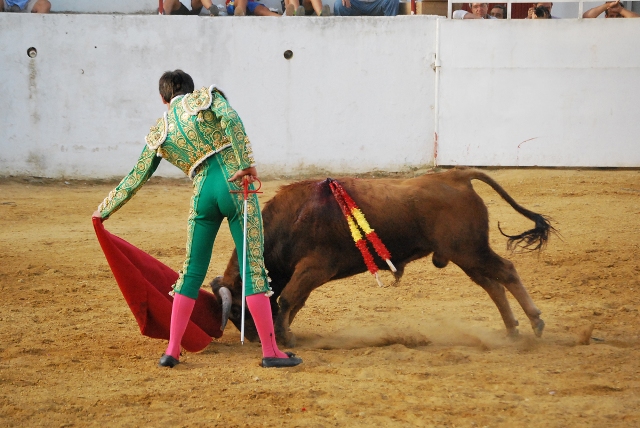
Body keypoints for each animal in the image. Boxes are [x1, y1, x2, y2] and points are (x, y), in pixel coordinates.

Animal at [211, 167, 556, 348]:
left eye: (237, 309)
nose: (253, 339)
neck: (292, 219)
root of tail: (455, 175)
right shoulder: (308, 273)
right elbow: (294, 301)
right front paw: (284, 333)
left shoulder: (315, 267)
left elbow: (287, 299)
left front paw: (285, 335)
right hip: (465, 254)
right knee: (493, 285)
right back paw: (512, 329)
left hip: (470, 250)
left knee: (506, 271)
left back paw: (536, 322)